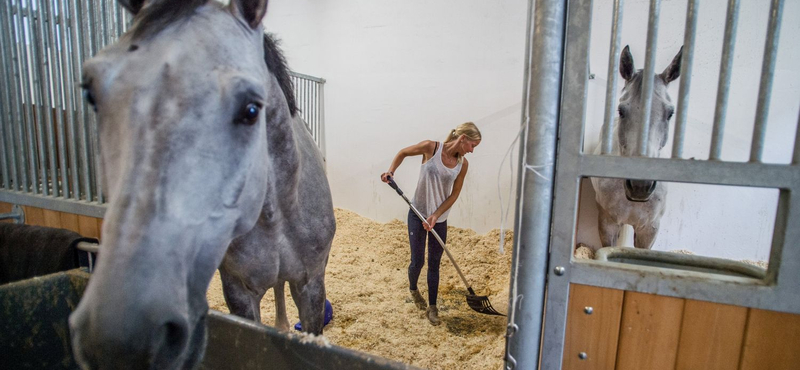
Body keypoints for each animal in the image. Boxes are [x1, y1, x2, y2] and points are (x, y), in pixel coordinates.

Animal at [65, 0, 334, 368]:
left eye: (251, 108)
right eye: (91, 92)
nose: (121, 337)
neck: (276, 215)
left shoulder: (311, 286)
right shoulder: (238, 290)